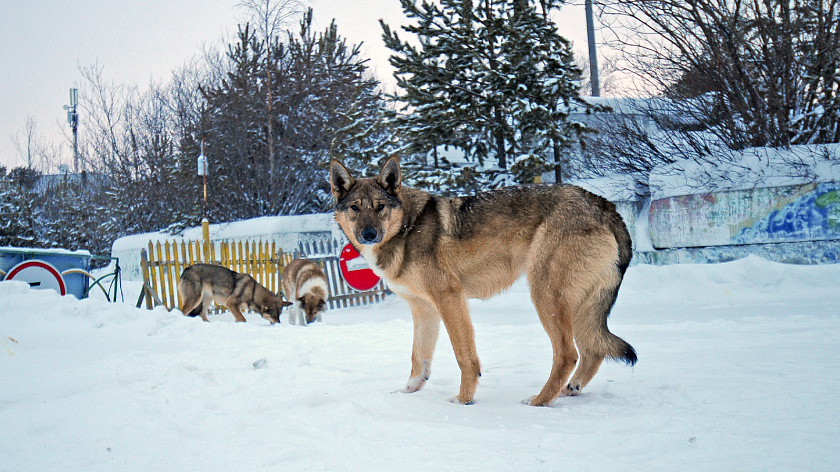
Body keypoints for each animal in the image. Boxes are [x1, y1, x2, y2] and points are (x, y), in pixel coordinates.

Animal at [330, 156, 636, 406]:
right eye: (355, 208)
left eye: (380, 207)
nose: (369, 234)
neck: (407, 227)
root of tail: (604, 204)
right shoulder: (424, 309)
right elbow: (419, 359)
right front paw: (407, 393)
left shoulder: (449, 298)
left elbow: (464, 356)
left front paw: (463, 400)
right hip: (579, 307)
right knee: (592, 351)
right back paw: (567, 391)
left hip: (545, 296)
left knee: (568, 354)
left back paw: (539, 401)